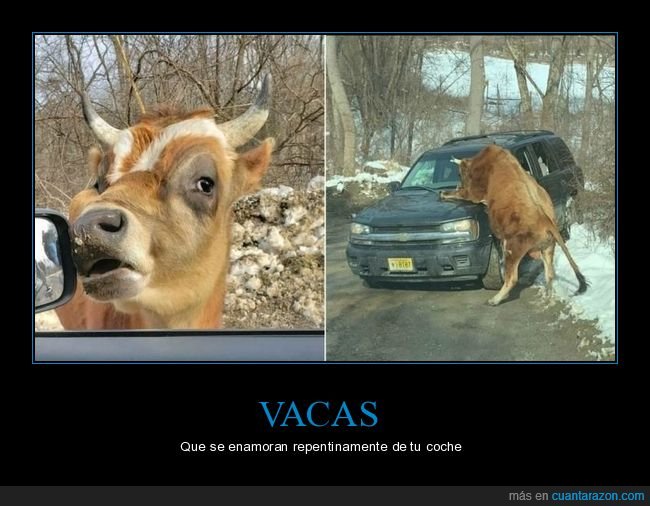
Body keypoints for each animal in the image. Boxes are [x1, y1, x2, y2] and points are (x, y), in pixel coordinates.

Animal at [440, 144, 587, 306]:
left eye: (460, 174)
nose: (458, 183)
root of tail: (545, 220)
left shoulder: (474, 193)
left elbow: (460, 194)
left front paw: (443, 193)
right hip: (547, 248)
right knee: (549, 273)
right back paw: (547, 297)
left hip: (512, 248)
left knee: (512, 277)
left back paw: (495, 300)